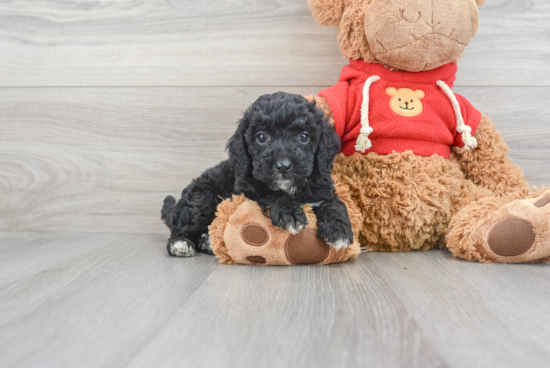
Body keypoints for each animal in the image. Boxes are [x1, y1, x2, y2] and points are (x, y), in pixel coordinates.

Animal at [162, 92, 356, 256]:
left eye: (304, 136)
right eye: (261, 137)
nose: (283, 166)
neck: (290, 187)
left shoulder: (322, 187)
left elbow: (334, 202)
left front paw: (339, 229)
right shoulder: (246, 187)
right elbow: (270, 193)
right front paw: (289, 213)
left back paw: (207, 242)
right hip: (201, 198)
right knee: (182, 226)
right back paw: (181, 243)